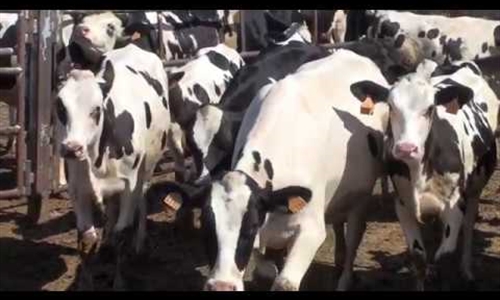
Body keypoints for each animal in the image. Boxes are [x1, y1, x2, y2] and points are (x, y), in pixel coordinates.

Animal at [56, 43, 171, 290]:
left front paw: (119, 282)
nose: (72, 149)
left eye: (96, 109)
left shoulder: (129, 187)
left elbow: (122, 233)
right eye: (60, 107)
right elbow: (86, 238)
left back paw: (139, 244)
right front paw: (85, 283)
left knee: (142, 199)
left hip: (148, 168)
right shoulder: (77, 191)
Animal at [376, 59, 500, 290]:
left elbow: (445, 253)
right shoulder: (403, 205)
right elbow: (418, 255)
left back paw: (466, 270)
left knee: (468, 226)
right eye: (391, 107)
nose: (406, 149)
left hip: (475, 188)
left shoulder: (454, 204)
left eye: (430, 108)